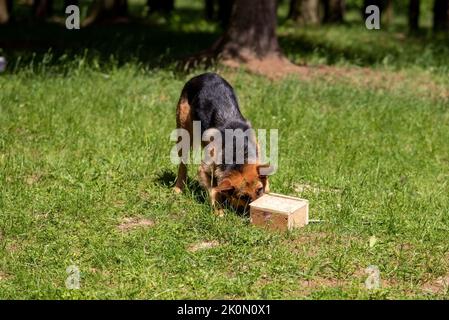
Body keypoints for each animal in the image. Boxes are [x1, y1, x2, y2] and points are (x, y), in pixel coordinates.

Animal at [173, 72, 268, 212]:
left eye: (259, 190)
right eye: (243, 197)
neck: (238, 153)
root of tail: (203, 75)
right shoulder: (204, 169)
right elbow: (214, 189)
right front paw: (219, 211)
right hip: (184, 132)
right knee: (182, 165)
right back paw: (178, 187)